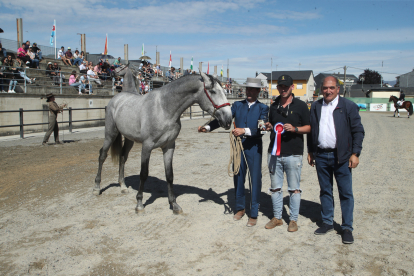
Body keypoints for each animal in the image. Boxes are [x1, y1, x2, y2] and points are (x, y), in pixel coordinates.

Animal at [93, 68, 233, 213]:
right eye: (213, 91)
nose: (228, 119)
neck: (164, 108)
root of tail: (116, 98)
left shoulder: (169, 146)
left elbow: (169, 175)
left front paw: (174, 204)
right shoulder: (147, 146)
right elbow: (143, 173)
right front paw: (139, 204)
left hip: (129, 139)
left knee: (122, 157)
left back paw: (123, 186)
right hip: (110, 134)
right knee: (102, 155)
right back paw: (97, 187)